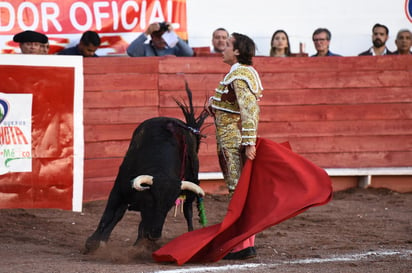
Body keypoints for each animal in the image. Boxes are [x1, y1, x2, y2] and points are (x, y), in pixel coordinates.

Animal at [86, 85, 209, 251]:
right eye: (152, 201)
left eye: (169, 205)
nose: (155, 235)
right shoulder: (119, 189)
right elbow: (111, 213)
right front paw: (93, 242)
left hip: (192, 180)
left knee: (188, 210)